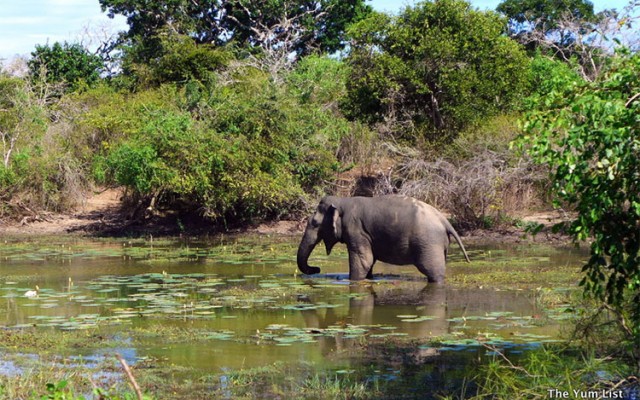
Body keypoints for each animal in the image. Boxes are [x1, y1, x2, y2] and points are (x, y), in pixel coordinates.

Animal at [296, 195, 470, 282]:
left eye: (314, 223)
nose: (317, 269)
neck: (343, 200)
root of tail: (445, 220)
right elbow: (369, 262)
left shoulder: (356, 229)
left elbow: (364, 261)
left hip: (429, 243)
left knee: (433, 272)